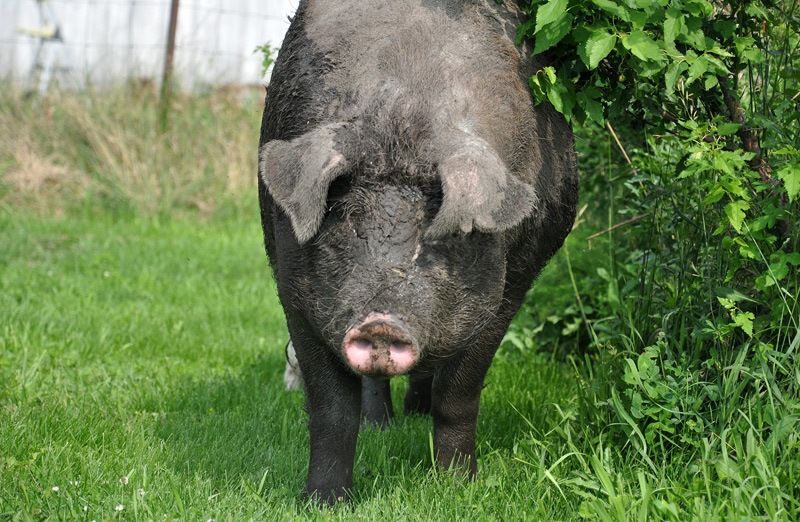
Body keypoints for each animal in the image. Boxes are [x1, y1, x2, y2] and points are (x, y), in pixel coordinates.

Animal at [257, 0, 578, 504]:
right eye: (346, 226)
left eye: (441, 239)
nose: (381, 323)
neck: (402, 115)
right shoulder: (292, 285)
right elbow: (331, 406)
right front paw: (323, 502)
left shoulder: (510, 288)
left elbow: (459, 393)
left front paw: (458, 488)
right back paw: (383, 428)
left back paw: (417, 414)